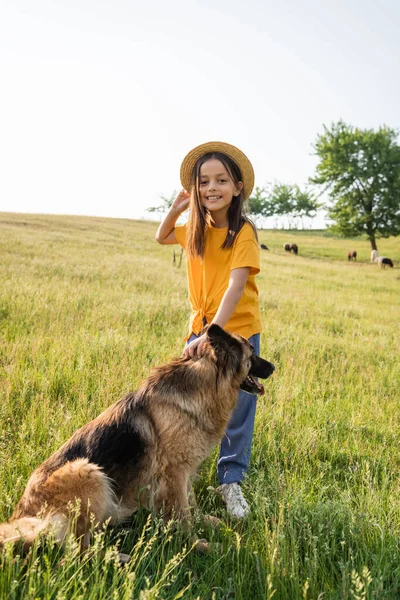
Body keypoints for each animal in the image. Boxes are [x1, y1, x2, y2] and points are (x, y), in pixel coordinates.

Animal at [0, 326, 276, 560]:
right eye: (252, 354)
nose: (274, 367)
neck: (206, 385)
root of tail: (22, 517)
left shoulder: (184, 472)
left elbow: (192, 504)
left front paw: (206, 522)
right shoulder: (174, 474)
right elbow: (183, 515)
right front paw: (197, 545)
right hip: (87, 472)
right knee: (78, 553)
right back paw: (118, 559)